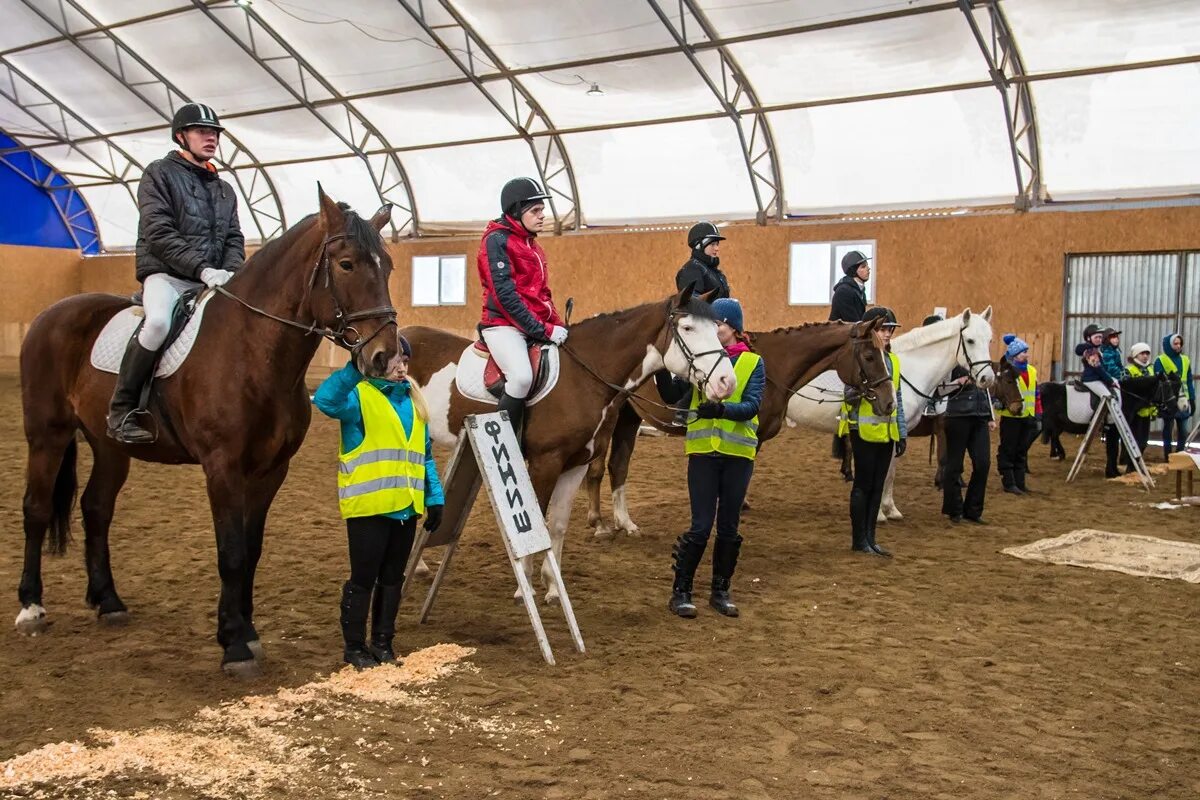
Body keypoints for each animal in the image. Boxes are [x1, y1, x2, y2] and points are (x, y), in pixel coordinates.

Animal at [15, 188, 398, 676]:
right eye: (347, 264)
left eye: (387, 267)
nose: (386, 356)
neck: (251, 350)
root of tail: (55, 311)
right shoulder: (222, 468)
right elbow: (230, 552)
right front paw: (234, 647)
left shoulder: (271, 471)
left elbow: (251, 550)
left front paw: (245, 631)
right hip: (47, 434)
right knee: (37, 509)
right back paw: (31, 608)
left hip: (109, 444)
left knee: (96, 508)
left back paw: (109, 602)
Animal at [403, 291, 734, 604]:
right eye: (688, 328)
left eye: (716, 329)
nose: (726, 381)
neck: (584, 377)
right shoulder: (545, 463)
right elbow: (536, 522)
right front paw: (525, 587)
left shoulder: (576, 464)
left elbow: (558, 524)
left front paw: (552, 586)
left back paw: (418, 566)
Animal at [585, 319, 897, 537]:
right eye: (870, 356)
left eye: (884, 353)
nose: (889, 402)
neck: (775, 366)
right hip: (609, 419)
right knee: (597, 468)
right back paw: (598, 522)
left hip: (629, 418)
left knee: (619, 465)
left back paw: (625, 522)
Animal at [787, 304, 993, 520]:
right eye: (970, 340)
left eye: (989, 340)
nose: (987, 378)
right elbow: (883, 473)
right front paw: (879, 514)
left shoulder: (897, 435)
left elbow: (890, 473)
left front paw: (890, 509)